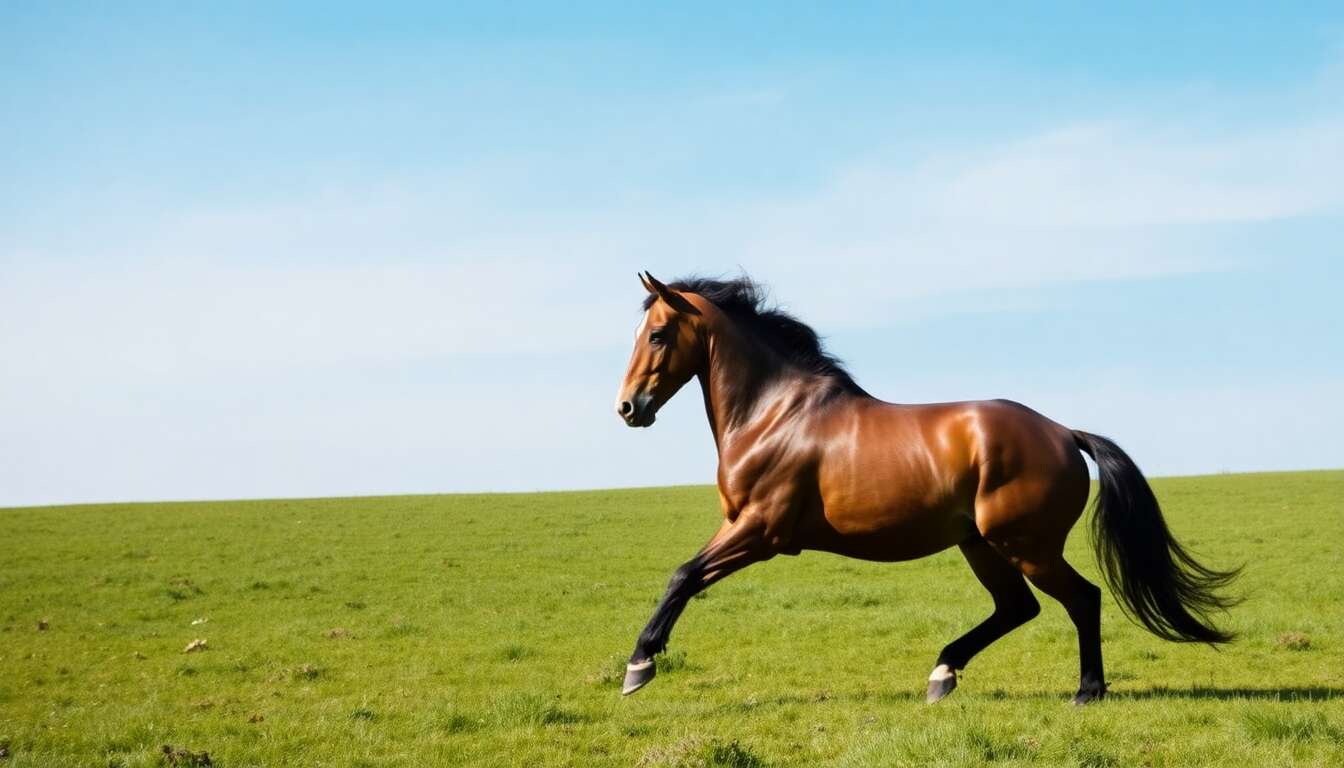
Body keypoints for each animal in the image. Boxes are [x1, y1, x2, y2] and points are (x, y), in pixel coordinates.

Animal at [613, 272, 1240, 705]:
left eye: (659, 335)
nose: (628, 408)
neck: (775, 413)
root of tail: (1064, 433)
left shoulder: (760, 530)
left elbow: (683, 575)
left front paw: (639, 666)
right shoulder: (738, 524)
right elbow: (686, 576)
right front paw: (643, 659)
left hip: (1024, 545)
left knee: (1081, 599)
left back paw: (1086, 691)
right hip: (981, 544)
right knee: (1018, 607)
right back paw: (943, 674)